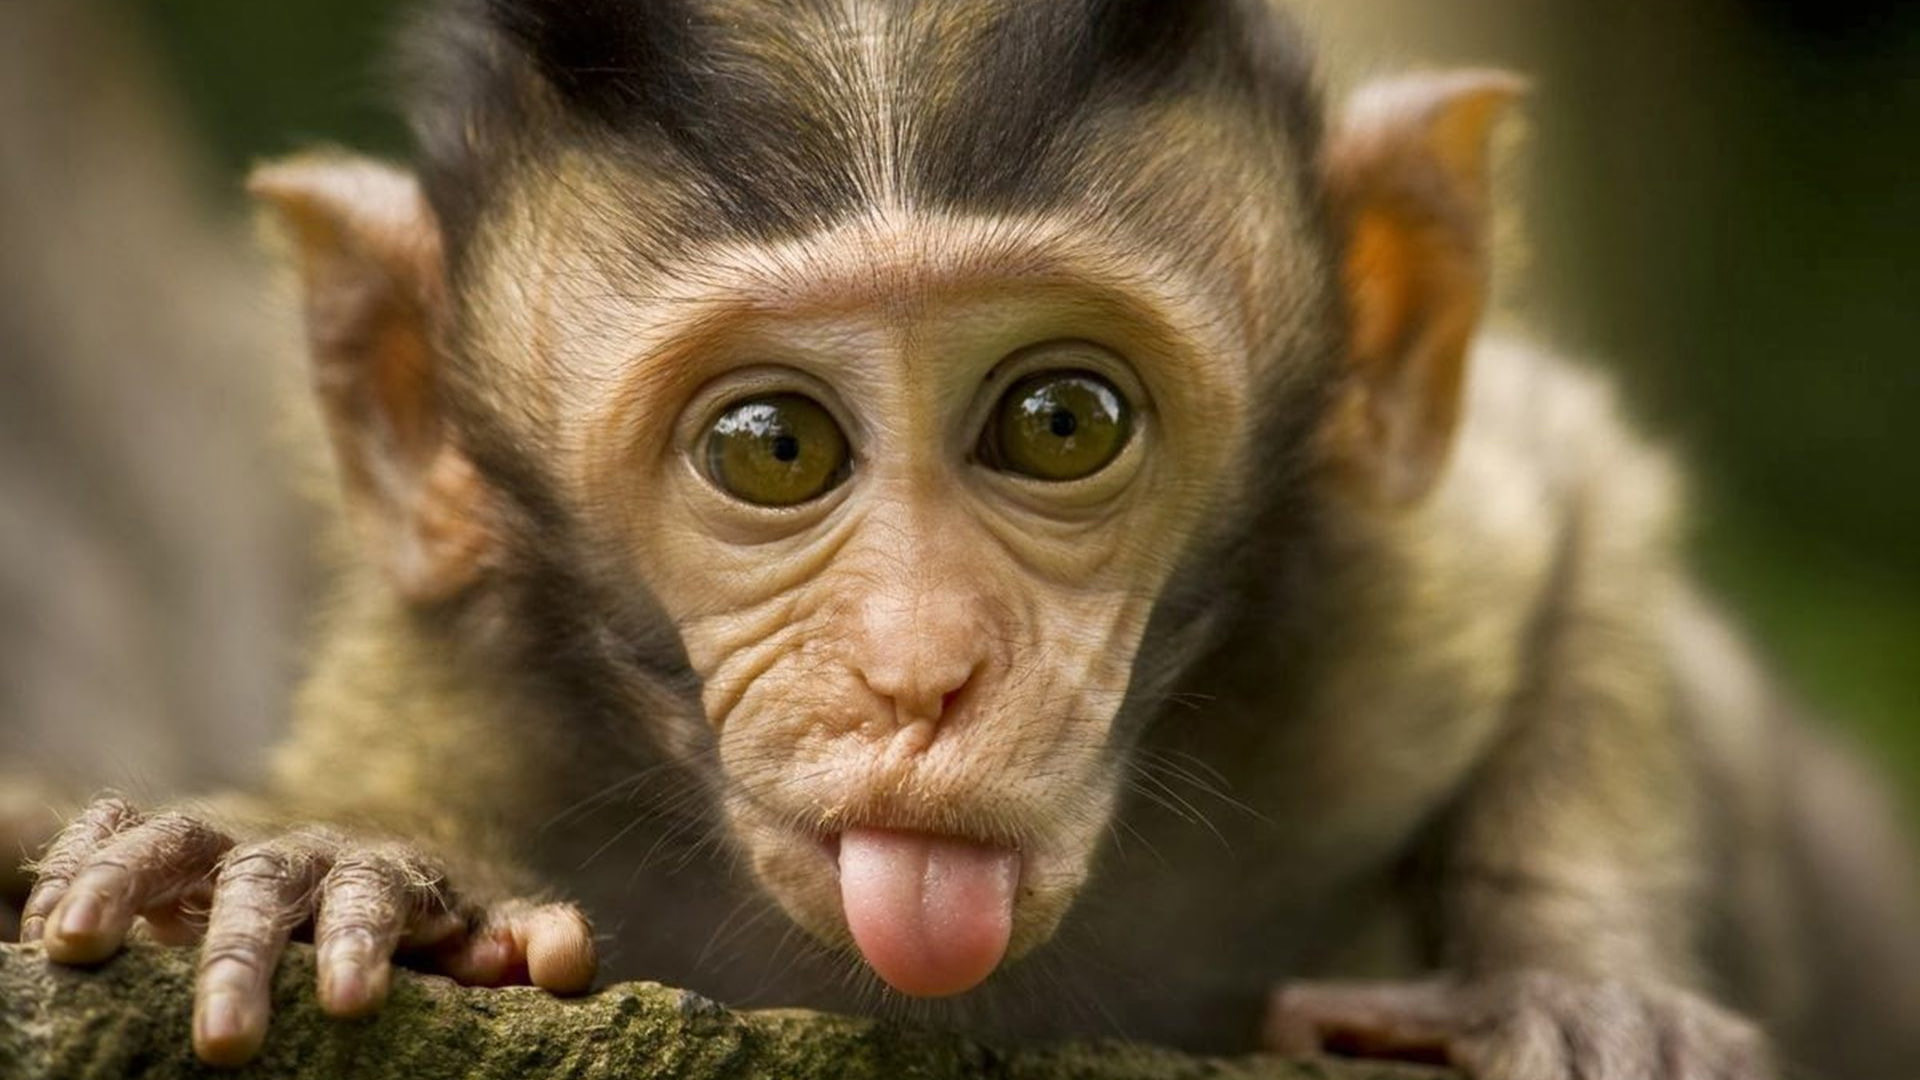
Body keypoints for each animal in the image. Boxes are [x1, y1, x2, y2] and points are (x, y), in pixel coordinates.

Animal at [18, 1, 1920, 1077]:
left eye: (1059, 423)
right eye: (773, 448)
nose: (922, 672)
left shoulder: (1383, 623)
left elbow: (1578, 497)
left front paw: (1572, 983)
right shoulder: (461, 696)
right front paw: (339, 865)